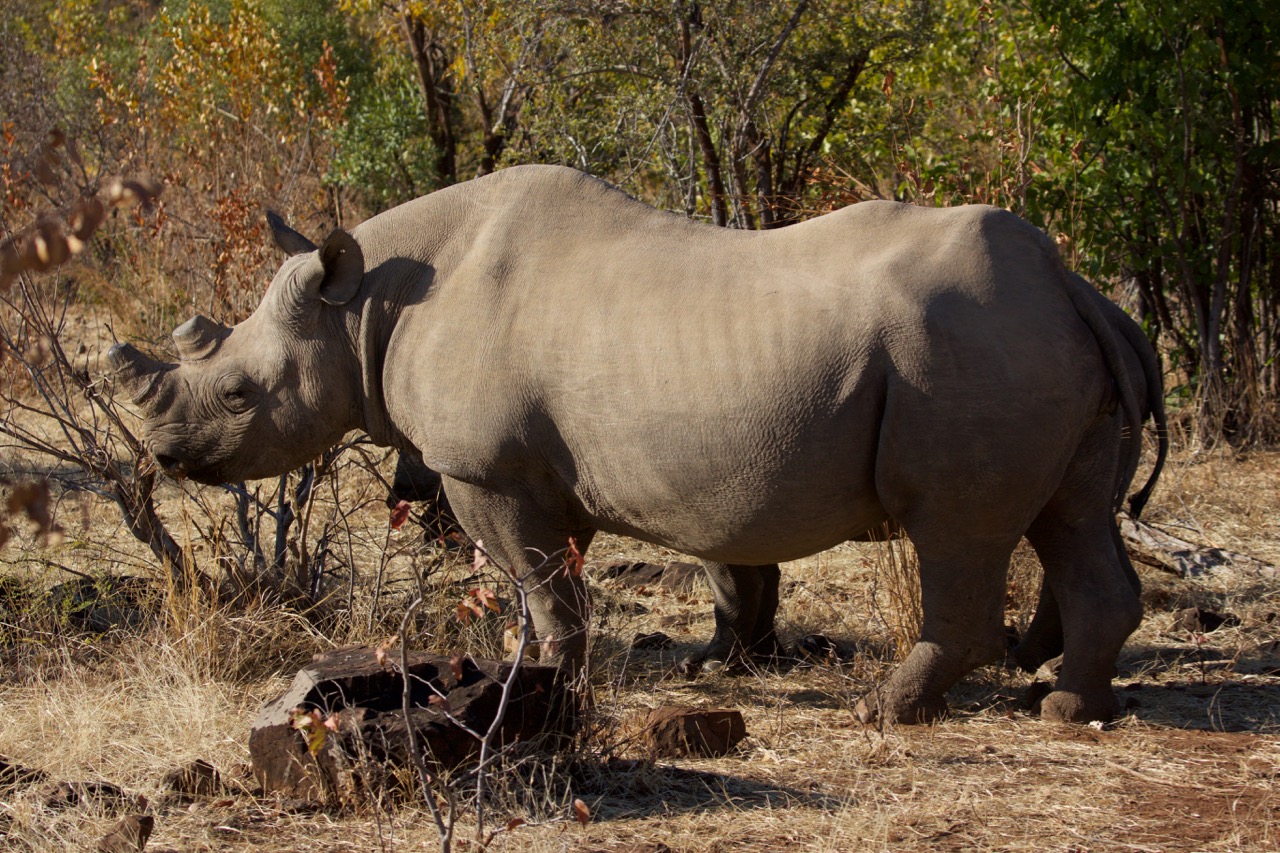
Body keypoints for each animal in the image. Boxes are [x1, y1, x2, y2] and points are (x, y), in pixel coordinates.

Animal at [111, 165, 1152, 724]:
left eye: (239, 394)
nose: (163, 455)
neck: (363, 305)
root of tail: (1070, 285)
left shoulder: (486, 468)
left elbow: (540, 583)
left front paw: (541, 683)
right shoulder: (548, 471)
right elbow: (562, 582)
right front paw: (555, 673)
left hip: (969, 349)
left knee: (956, 533)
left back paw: (887, 710)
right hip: (1027, 343)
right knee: (1071, 518)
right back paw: (1068, 709)